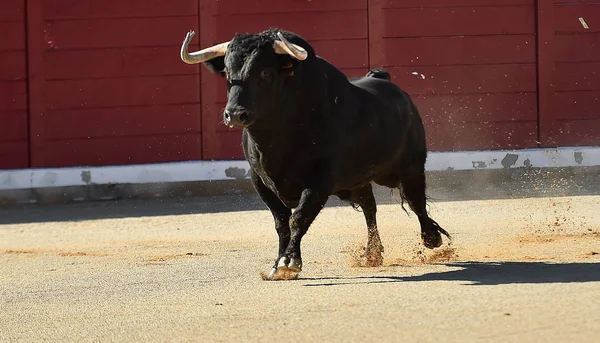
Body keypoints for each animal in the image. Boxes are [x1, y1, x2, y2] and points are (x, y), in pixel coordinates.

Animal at [180, 28, 448, 280]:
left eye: (265, 72)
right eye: (227, 72)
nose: (235, 114)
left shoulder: (319, 181)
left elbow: (299, 217)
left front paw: (289, 262)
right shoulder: (260, 182)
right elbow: (281, 222)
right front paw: (277, 264)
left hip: (409, 166)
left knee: (415, 200)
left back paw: (431, 237)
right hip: (357, 181)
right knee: (370, 207)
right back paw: (371, 253)